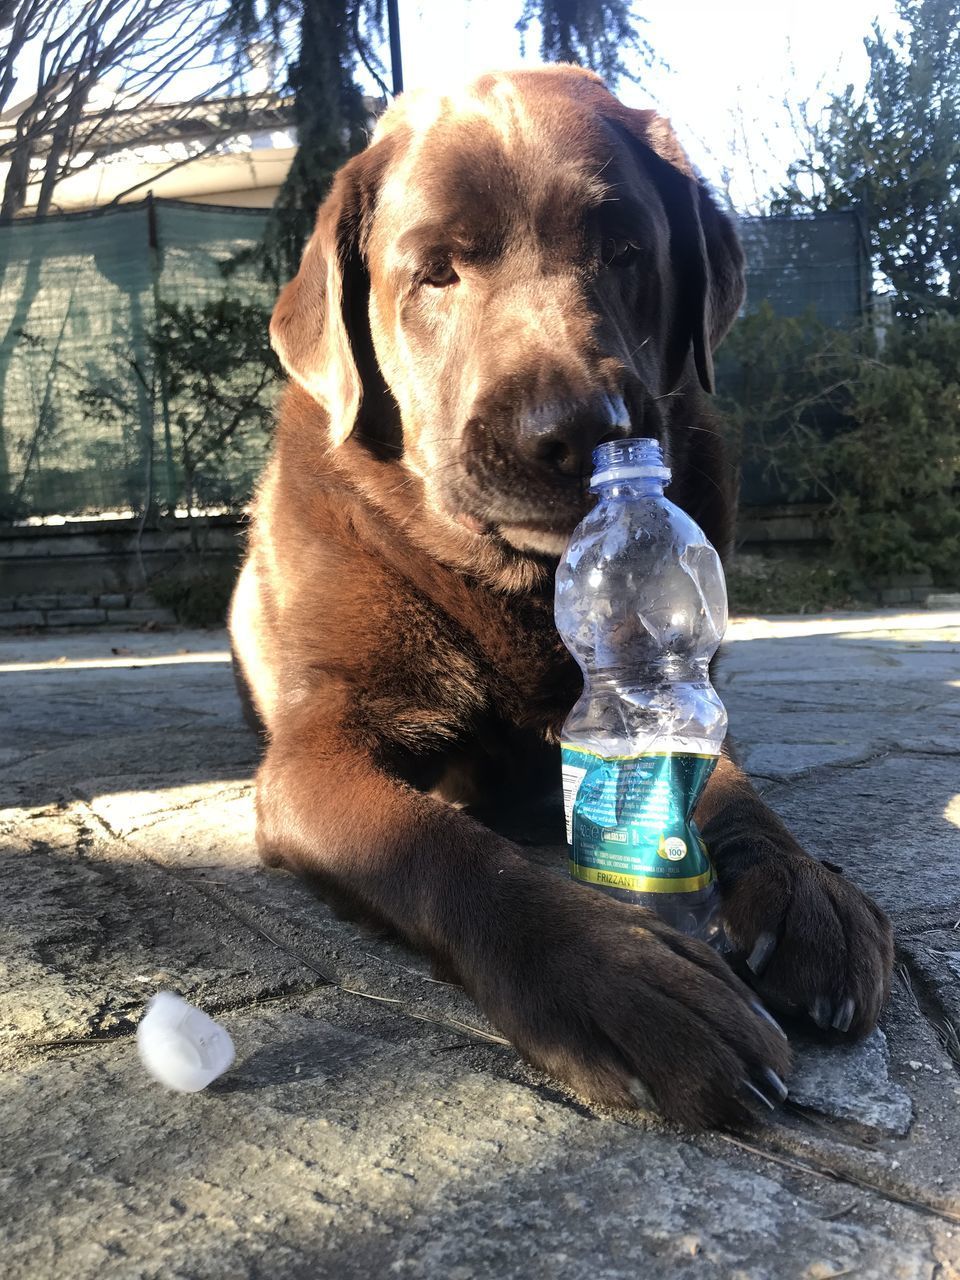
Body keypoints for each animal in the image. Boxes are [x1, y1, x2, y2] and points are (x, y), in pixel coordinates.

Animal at [231, 67, 896, 1131]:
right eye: (437, 272)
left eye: (623, 250)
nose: (581, 428)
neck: (515, 584)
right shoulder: (317, 752)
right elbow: (439, 848)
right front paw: (623, 976)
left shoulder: (671, 694)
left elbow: (723, 774)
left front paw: (798, 878)